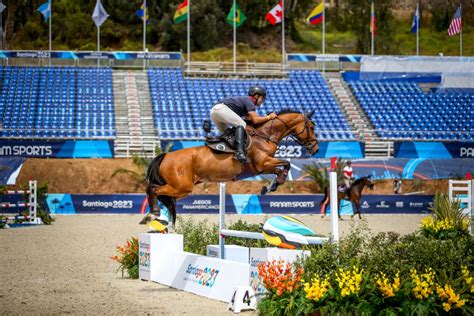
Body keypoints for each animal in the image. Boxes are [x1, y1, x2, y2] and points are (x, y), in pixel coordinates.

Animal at [141, 108, 318, 227]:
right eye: (311, 127)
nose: (315, 149)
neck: (265, 135)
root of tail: (165, 155)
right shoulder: (262, 164)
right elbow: (286, 164)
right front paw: (272, 185)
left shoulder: (263, 167)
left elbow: (282, 168)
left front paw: (270, 186)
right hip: (182, 187)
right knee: (153, 189)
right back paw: (153, 214)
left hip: (179, 189)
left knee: (158, 193)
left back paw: (152, 214)